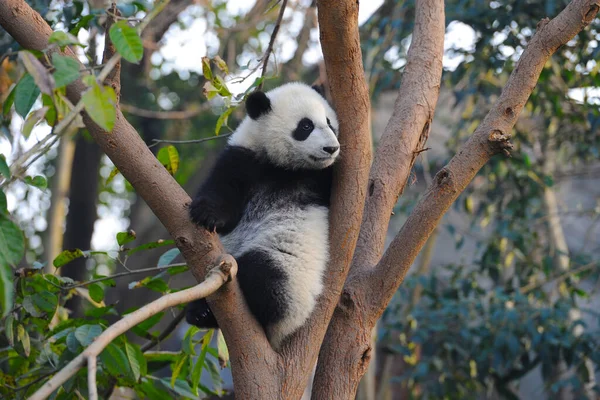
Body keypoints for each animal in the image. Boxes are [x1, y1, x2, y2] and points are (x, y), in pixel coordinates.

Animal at [185, 82, 340, 350]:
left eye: (329, 123)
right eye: (306, 126)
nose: (331, 148)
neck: (284, 168)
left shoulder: (323, 179)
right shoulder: (244, 158)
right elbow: (224, 190)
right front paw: (205, 214)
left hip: (291, 274)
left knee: (265, 276)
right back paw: (199, 312)